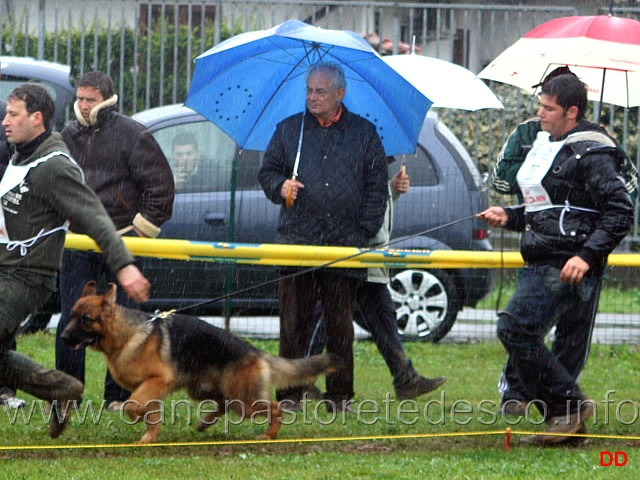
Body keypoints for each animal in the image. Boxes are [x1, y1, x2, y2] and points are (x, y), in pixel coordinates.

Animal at [60, 282, 342, 442]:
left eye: (86, 319)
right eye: (72, 315)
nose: (63, 337)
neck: (126, 334)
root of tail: (255, 351)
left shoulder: (157, 381)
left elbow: (132, 405)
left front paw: (140, 423)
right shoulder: (153, 388)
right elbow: (148, 412)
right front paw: (150, 436)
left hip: (245, 400)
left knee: (275, 408)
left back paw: (269, 435)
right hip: (205, 391)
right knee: (224, 404)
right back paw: (204, 423)